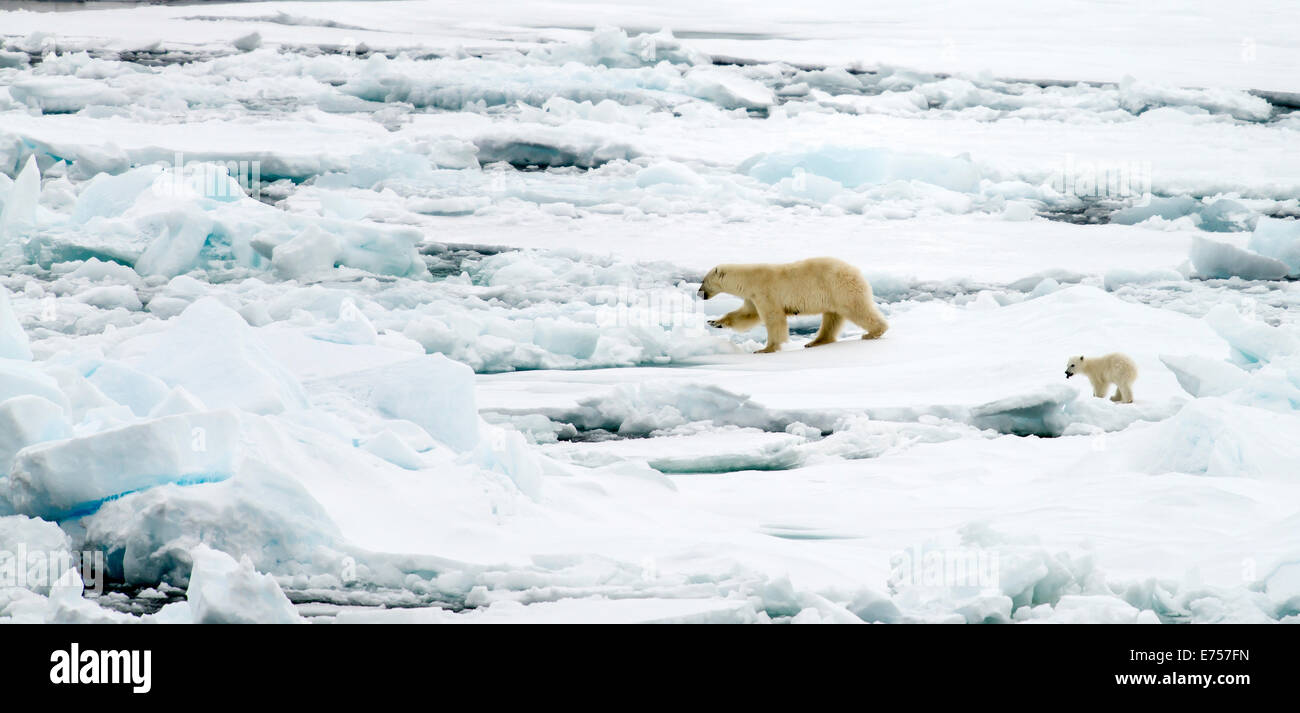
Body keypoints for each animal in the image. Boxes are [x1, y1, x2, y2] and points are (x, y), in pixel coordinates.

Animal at [696, 257, 889, 353]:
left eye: (703, 281)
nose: (699, 293)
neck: (749, 279)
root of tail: (856, 271)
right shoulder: (752, 296)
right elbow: (748, 314)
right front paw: (715, 322)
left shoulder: (765, 291)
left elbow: (774, 318)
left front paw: (766, 349)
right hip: (833, 294)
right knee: (831, 318)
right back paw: (815, 342)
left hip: (840, 287)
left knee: (857, 309)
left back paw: (873, 332)